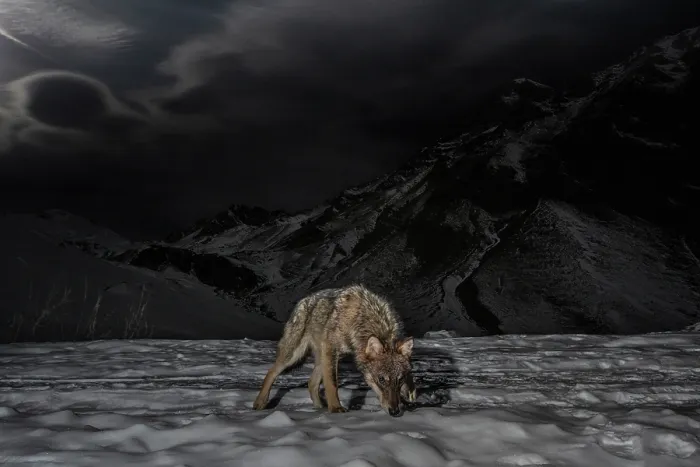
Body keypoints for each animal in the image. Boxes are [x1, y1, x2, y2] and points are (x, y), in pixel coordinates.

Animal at [252, 284, 417, 417]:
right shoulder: (331, 348)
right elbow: (332, 383)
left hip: (322, 359)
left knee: (311, 383)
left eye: (400, 379)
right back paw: (260, 403)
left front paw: (408, 398)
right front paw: (336, 409)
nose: (395, 412)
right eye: (381, 379)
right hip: (295, 355)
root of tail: (303, 300)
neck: (362, 318)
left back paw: (319, 408)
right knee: (271, 372)